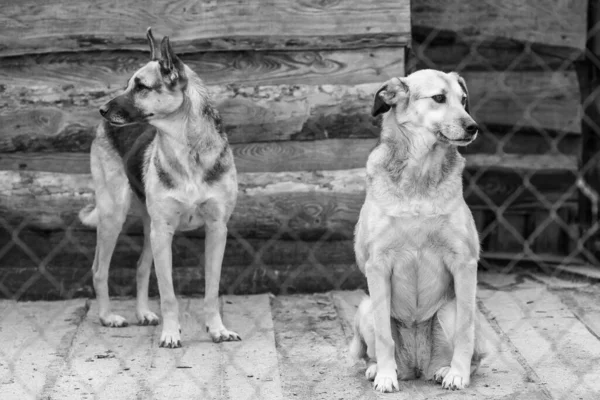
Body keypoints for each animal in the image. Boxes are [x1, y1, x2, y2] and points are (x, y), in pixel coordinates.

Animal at [78, 27, 240, 346]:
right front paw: (170, 334)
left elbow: (211, 290)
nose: (101, 109)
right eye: (128, 84)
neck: (187, 148)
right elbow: (168, 295)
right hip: (115, 216)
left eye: (141, 86)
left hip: (149, 227)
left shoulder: (217, 230)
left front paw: (217, 329)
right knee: (99, 269)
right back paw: (107, 317)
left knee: (141, 267)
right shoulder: (164, 232)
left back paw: (142, 313)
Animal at [350, 70, 486, 392]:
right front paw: (386, 376)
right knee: (374, 349)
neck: (420, 174)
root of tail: (417, 367)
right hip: (366, 307)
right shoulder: (378, 265)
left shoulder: (464, 263)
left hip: (450, 310)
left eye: (463, 100)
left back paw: (447, 370)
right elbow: (384, 337)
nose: (473, 127)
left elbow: (465, 332)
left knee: (471, 348)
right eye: (438, 98)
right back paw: (380, 369)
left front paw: (458, 374)